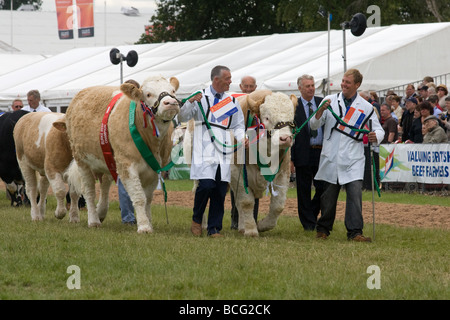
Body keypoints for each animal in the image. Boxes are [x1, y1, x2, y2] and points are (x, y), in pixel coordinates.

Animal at [65, 76, 181, 234]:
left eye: (173, 91)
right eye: (148, 94)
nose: (171, 103)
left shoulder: (154, 170)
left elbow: (148, 198)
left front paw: (148, 223)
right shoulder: (127, 165)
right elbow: (139, 197)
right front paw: (144, 227)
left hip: (106, 163)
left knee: (104, 187)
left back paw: (100, 213)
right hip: (82, 161)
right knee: (89, 191)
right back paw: (93, 220)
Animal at [230, 89, 298, 235]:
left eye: (291, 120)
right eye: (266, 118)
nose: (285, 138)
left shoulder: (283, 173)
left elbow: (278, 206)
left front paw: (261, 225)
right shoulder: (236, 172)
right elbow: (246, 202)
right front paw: (251, 230)